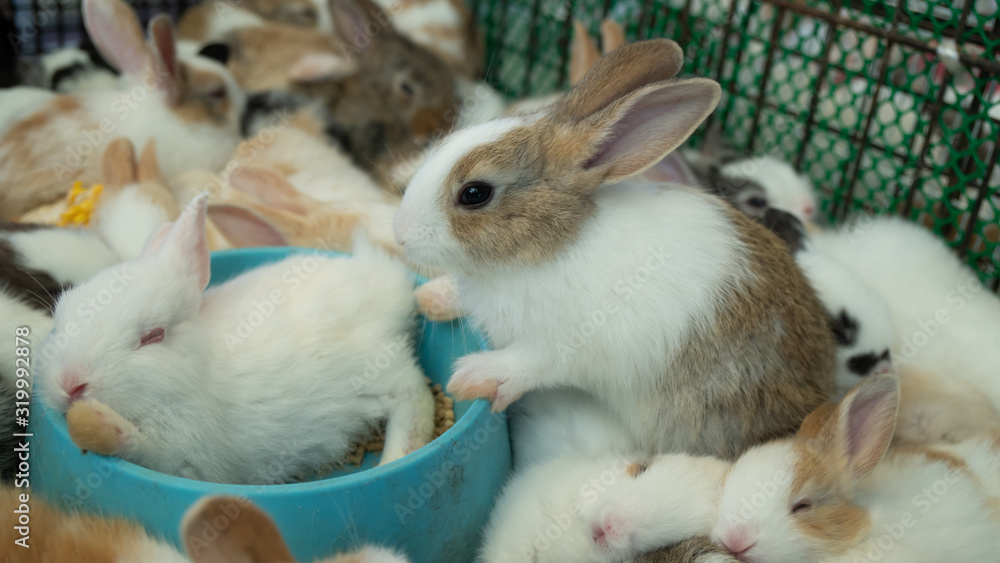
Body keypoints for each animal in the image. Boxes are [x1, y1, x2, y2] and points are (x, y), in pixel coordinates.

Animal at [38, 194, 435, 484]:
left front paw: (95, 423)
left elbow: (141, 448)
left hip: (375, 370)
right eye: (62, 313)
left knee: (416, 396)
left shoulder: (184, 456)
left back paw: (394, 458)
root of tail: (390, 281)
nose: (70, 384)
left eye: (153, 335)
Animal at [393, 39, 836, 459]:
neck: (550, 243)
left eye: (475, 193)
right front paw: (430, 298)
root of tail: (819, 394)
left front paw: (473, 377)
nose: (400, 233)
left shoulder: (563, 345)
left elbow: (529, 363)